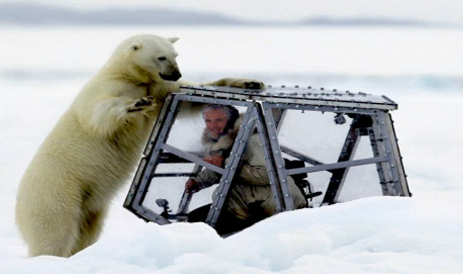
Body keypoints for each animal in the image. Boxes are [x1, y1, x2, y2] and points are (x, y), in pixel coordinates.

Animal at [15, 33, 264, 256]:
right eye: (161, 57)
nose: (176, 73)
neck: (128, 75)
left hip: (90, 204)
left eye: (175, 54)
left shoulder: (158, 87)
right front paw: (136, 105)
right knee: (55, 232)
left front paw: (250, 82)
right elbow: (100, 114)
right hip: (58, 191)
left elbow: (189, 99)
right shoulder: (108, 89)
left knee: (88, 229)